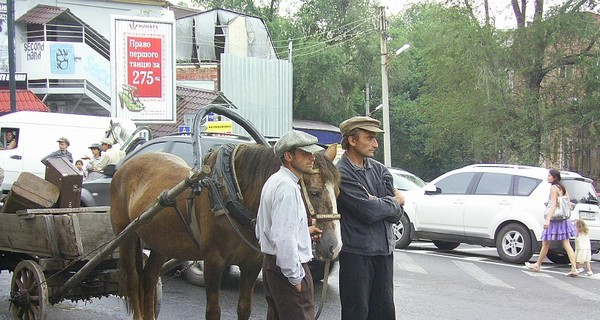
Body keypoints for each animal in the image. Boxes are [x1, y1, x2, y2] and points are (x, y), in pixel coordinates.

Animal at [109, 143, 340, 320]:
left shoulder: (252, 264)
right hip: (126, 236)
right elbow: (213, 311)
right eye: (315, 192)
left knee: (149, 278)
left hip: (162, 242)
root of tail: (125, 166)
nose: (334, 246)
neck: (232, 196)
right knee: (134, 281)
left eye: (338, 191)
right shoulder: (213, 262)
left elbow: (244, 308)